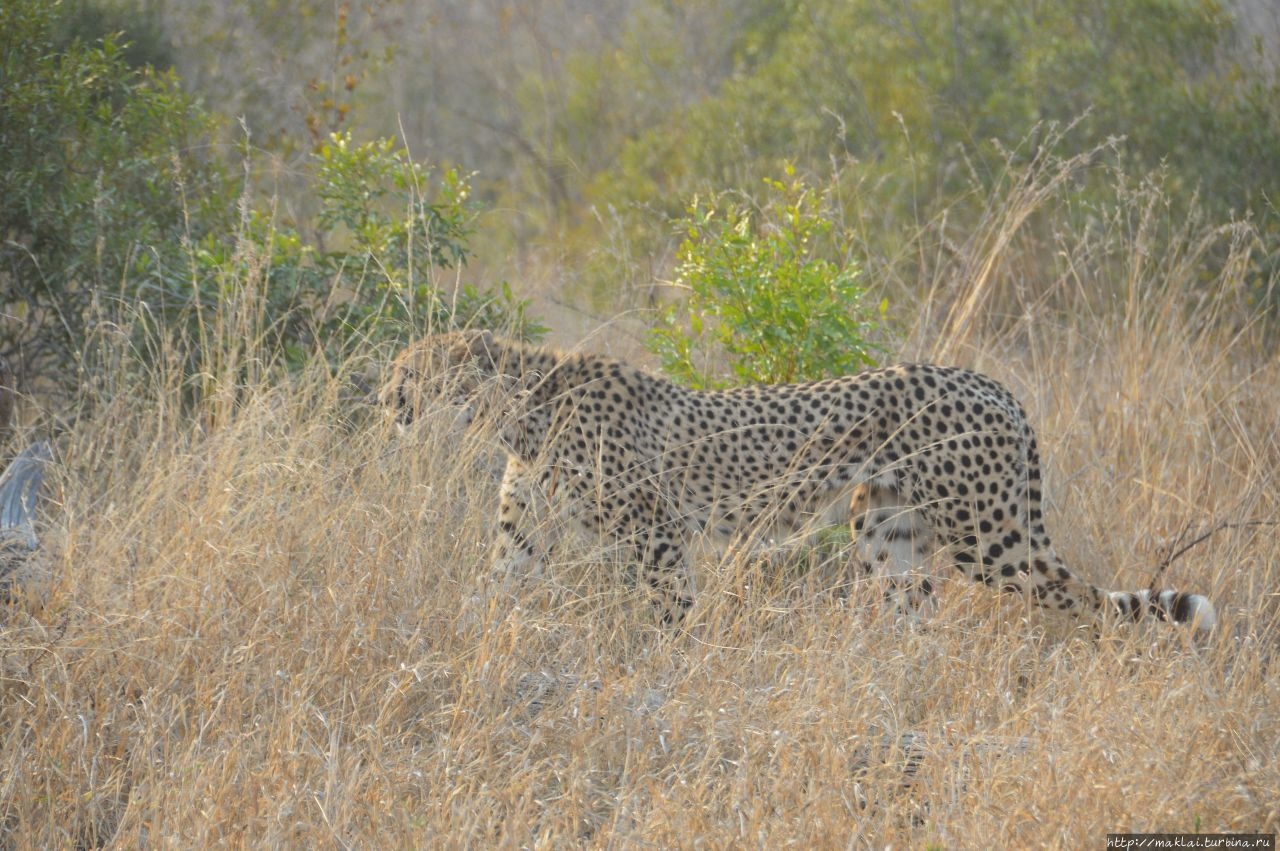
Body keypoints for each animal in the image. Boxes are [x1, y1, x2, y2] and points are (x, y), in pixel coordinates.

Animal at [381, 327, 1218, 634]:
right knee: (916, 620)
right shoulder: (521, 540)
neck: (519, 410)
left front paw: (670, 672)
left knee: (1085, 599)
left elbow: (671, 614)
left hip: (989, 538)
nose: (384, 399)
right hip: (887, 531)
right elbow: (491, 592)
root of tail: (988, 381)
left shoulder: (656, 534)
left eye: (408, 373)